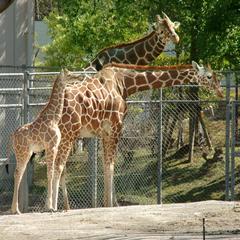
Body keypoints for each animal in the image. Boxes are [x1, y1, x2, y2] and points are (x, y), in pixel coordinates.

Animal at [10, 69, 80, 214]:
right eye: (70, 74)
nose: (80, 77)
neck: (54, 118)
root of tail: (13, 136)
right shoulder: (50, 146)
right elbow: (50, 173)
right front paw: (49, 207)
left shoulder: (54, 146)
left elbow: (53, 171)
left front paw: (51, 206)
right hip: (22, 152)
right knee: (18, 173)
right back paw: (16, 210)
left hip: (26, 153)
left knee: (19, 173)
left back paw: (16, 209)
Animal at [52, 61, 223, 210]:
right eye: (209, 76)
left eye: (215, 75)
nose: (220, 92)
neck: (125, 84)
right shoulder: (115, 127)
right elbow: (111, 165)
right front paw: (110, 205)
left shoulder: (104, 132)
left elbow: (107, 165)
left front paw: (110, 203)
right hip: (68, 133)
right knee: (58, 166)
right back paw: (52, 207)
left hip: (63, 137)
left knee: (59, 167)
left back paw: (63, 207)